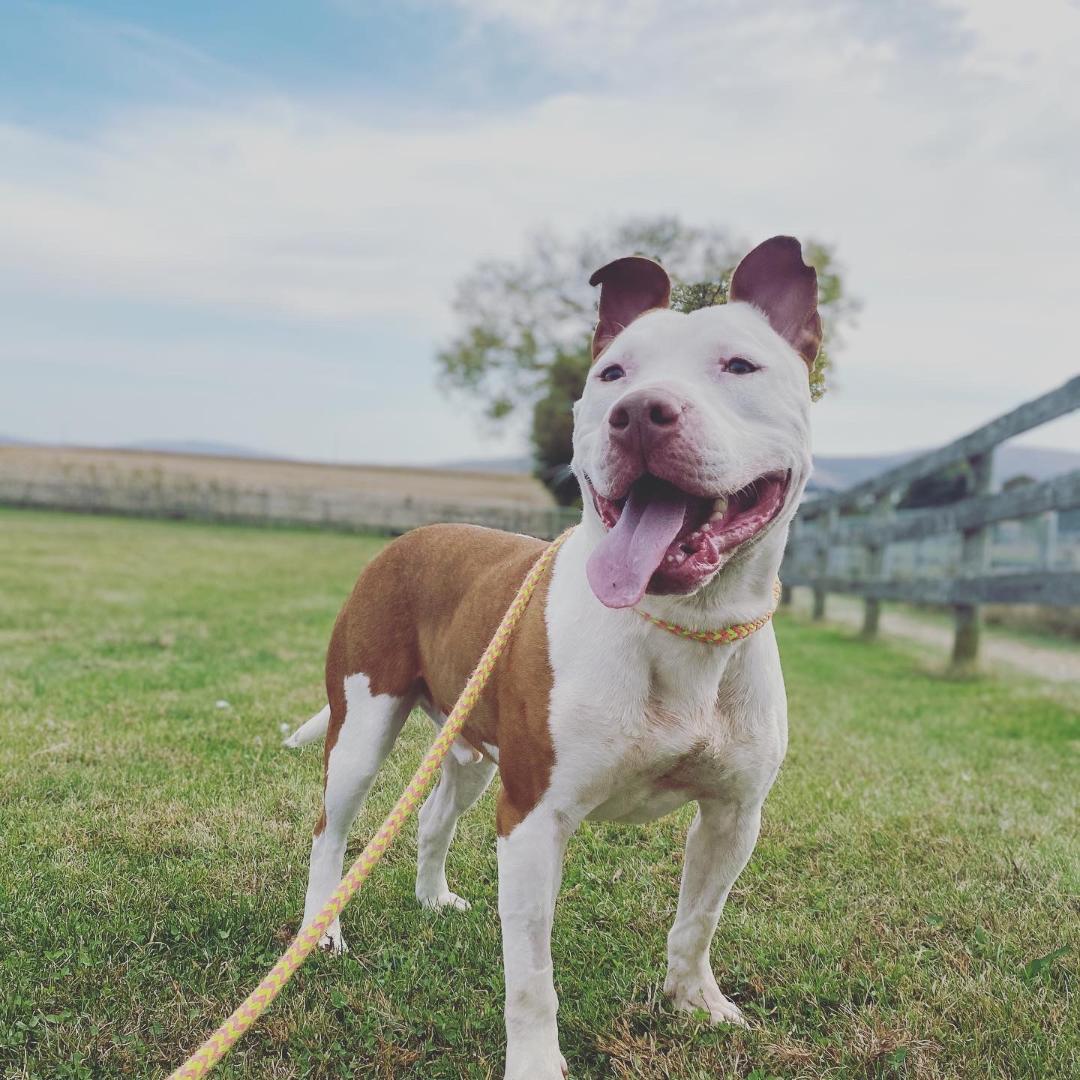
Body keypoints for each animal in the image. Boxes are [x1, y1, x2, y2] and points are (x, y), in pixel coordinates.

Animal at [287, 236, 816, 1080]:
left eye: (740, 365)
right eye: (612, 375)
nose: (641, 413)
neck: (683, 624)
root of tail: (415, 533)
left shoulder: (734, 818)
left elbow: (697, 922)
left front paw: (696, 1004)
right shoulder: (534, 821)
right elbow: (532, 975)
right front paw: (536, 1062)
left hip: (471, 748)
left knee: (434, 816)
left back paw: (433, 899)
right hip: (361, 729)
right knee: (330, 832)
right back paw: (323, 930)